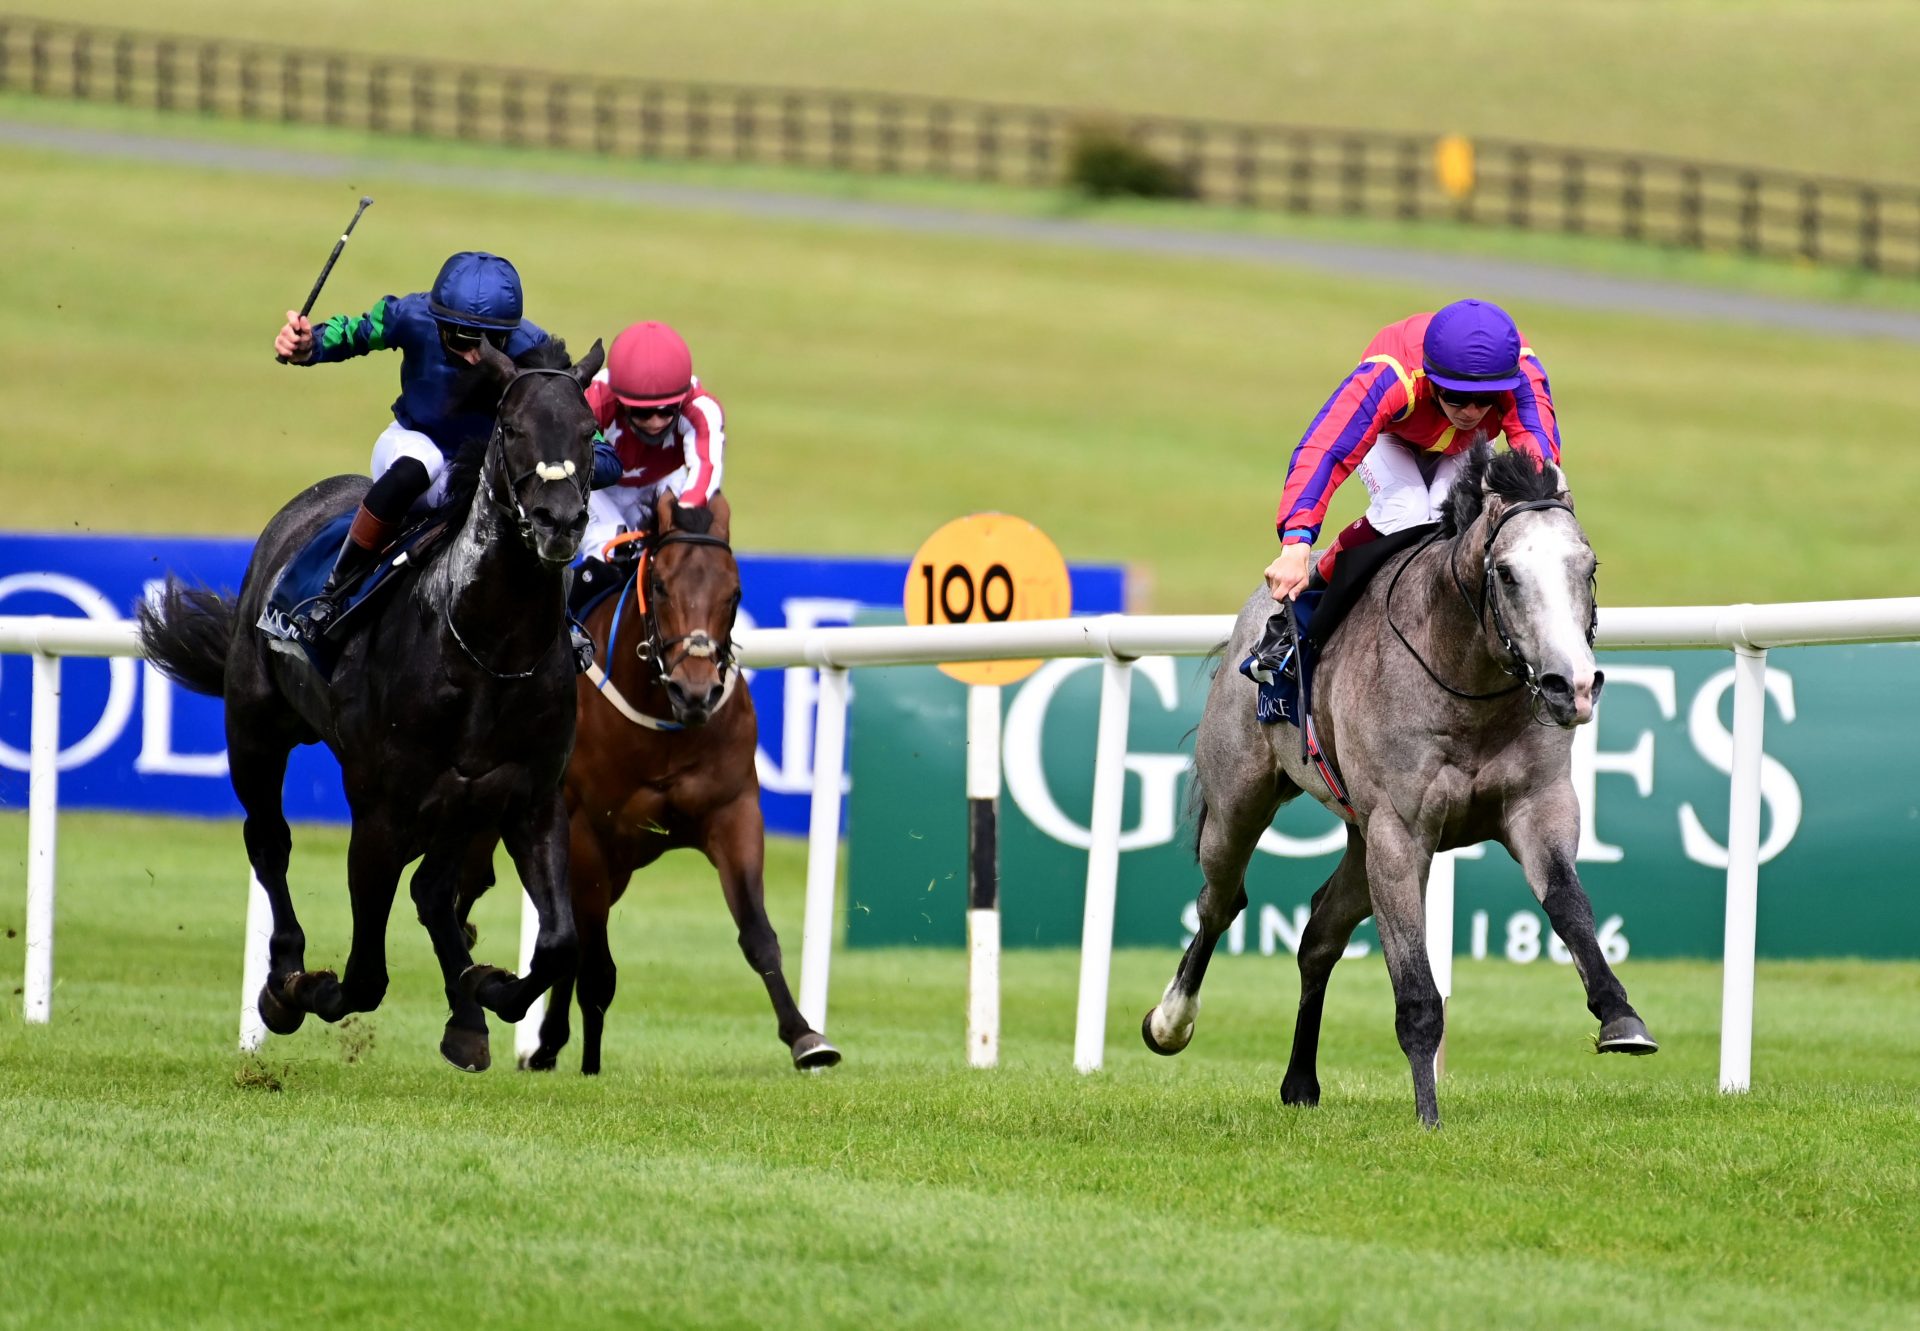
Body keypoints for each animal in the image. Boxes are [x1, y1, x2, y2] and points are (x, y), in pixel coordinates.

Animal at [139, 334, 602, 1067]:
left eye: (590, 431)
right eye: (512, 427)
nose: (559, 521)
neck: (486, 648)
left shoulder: (528, 795)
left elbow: (557, 944)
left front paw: (489, 989)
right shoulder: (380, 811)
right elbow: (363, 977)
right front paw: (299, 989)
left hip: (463, 804)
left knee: (433, 892)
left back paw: (466, 1018)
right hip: (255, 730)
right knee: (269, 842)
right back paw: (284, 973)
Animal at [456, 491, 840, 1075]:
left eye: (735, 592)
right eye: (660, 586)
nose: (695, 691)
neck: (662, 721)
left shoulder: (733, 811)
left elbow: (757, 933)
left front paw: (805, 1037)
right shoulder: (586, 831)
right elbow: (595, 967)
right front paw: (586, 1062)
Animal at [1136, 445, 1651, 1121]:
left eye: (1587, 567)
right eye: (1508, 573)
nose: (1574, 686)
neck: (1467, 685)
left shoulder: (1539, 806)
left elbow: (1569, 905)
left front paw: (1620, 1015)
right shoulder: (1399, 834)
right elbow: (1416, 987)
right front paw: (1428, 1117)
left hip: (1359, 841)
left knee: (1319, 935)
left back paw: (1300, 1083)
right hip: (1239, 803)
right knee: (1220, 903)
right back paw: (1170, 1021)